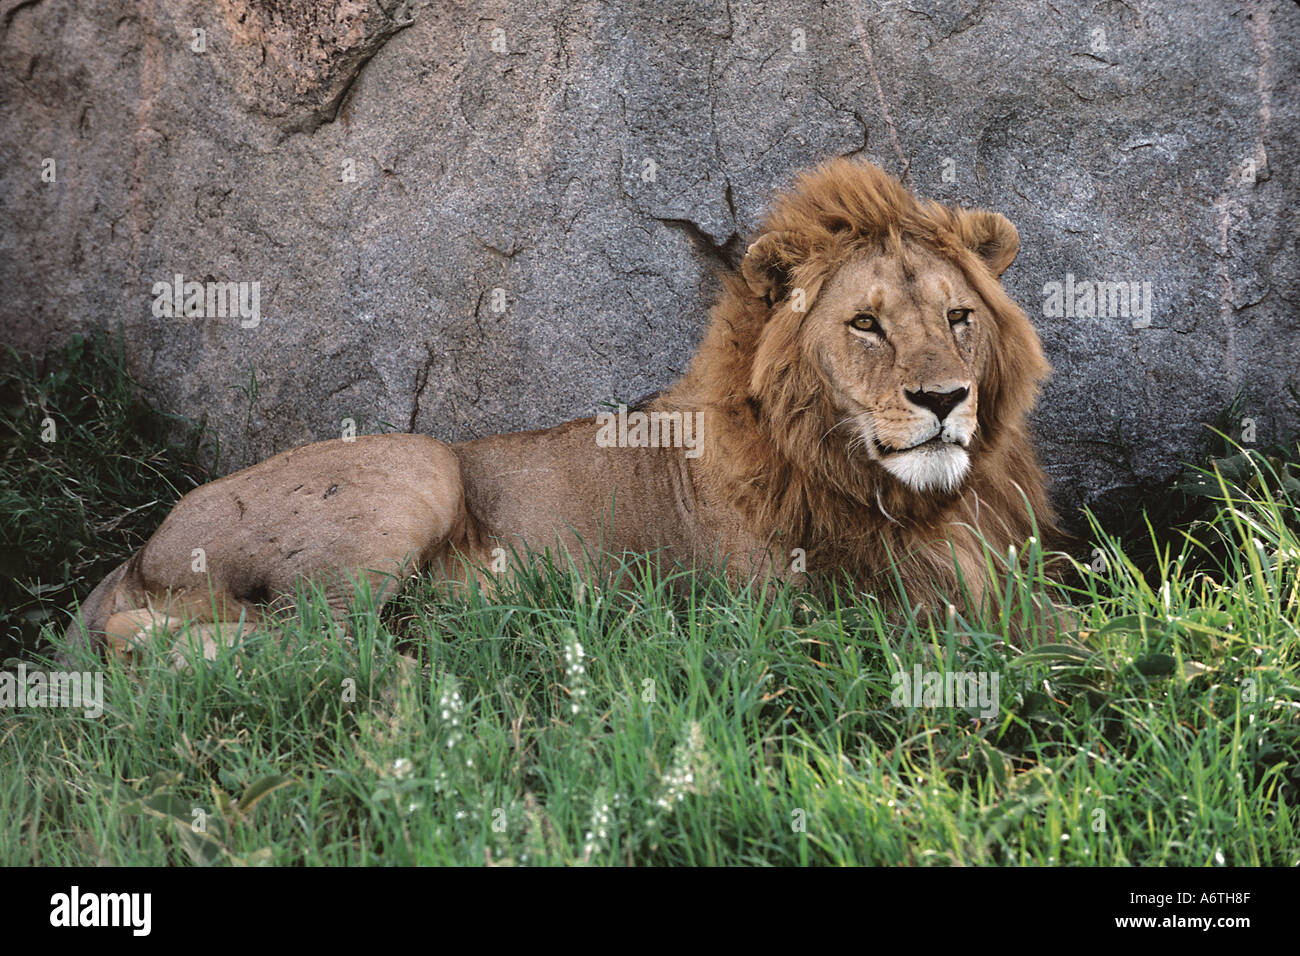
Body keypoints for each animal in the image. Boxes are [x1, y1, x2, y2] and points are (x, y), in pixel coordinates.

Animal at [63, 158, 1055, 665]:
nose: (943, 399)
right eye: (865, 325)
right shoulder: (817, 615)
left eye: (959, 318)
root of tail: (139, 553)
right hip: (418, 466)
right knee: (310, 648)